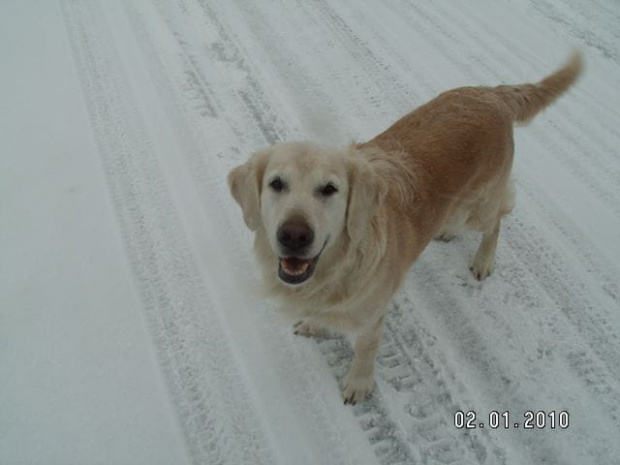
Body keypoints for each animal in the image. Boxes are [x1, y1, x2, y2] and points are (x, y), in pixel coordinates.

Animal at [228, 52, 580, 402]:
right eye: (276, 184)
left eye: (329, 189)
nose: (294, 236)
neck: (338, 267)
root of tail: (492, 93)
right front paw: (315, 324)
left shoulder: (373, 315)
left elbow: (366, 348)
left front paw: (359, 383)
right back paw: (446, 230)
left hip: (481, 206)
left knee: (496, 223)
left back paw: (483, 260)